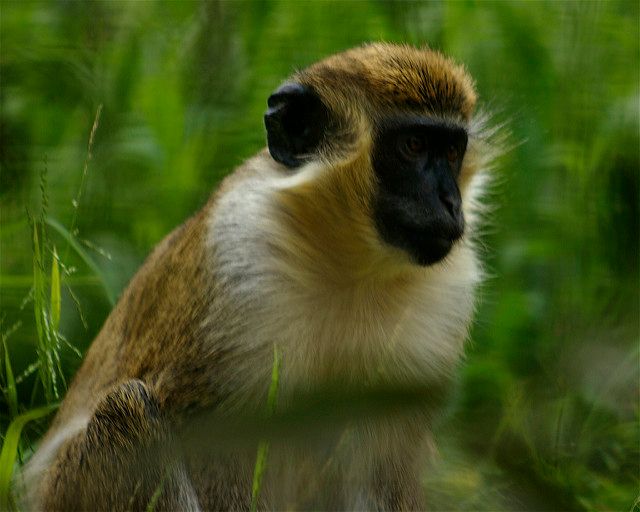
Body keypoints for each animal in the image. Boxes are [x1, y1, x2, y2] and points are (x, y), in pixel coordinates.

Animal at [22, 43, 495, 511]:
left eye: (452, 152)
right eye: (413, 146)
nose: (450, 202)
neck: (349, 269)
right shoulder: (239, 258)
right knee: (126, 408)